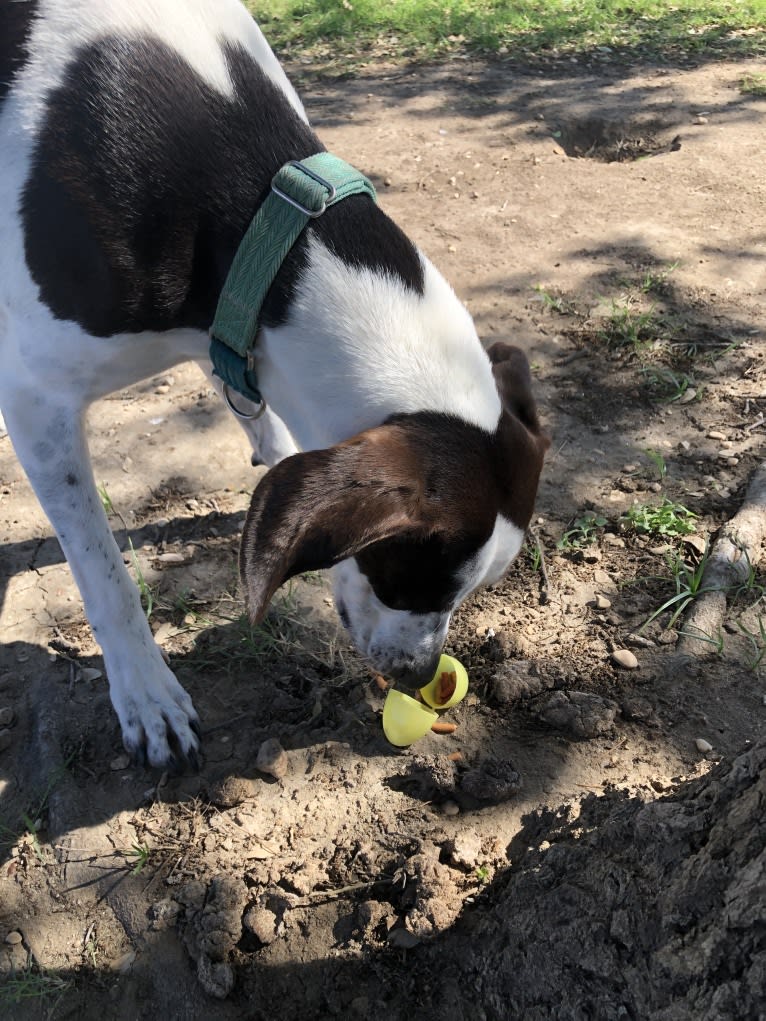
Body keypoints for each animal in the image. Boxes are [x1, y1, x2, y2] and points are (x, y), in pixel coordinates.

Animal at [1, 0, 551, 767]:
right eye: (407, 577)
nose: (419, 676)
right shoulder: (36, 399)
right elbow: (102, 572)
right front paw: (145, 689)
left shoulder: (233, 322)